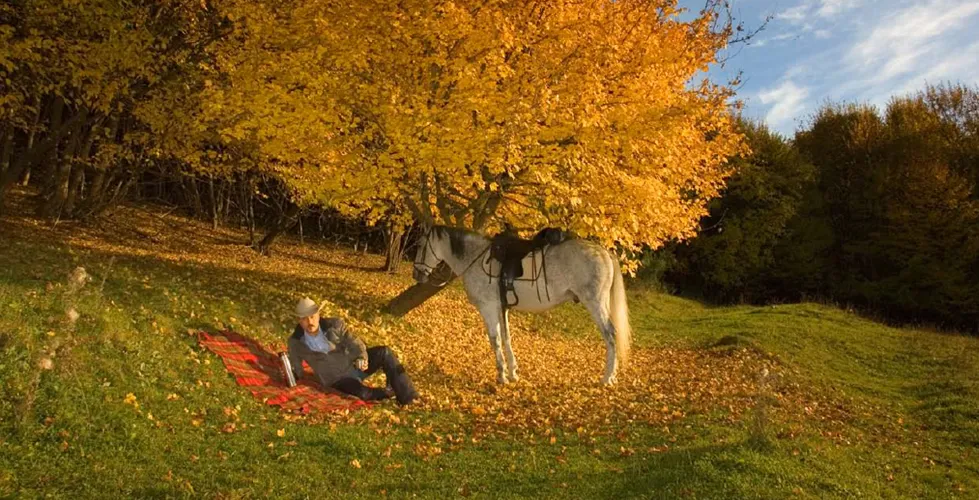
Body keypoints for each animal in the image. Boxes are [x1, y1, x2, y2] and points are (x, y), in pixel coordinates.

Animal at [410, 225, 632, 384]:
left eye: (420, 245)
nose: (416, 275)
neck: (475, 257)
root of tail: (604, 252)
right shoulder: (502, 308)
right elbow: (507, 338)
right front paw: (513, 372)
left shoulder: (488, 308)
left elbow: (495, 340)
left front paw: (501, 375)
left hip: (595, 304)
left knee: (610, 335)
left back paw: (607, 377)